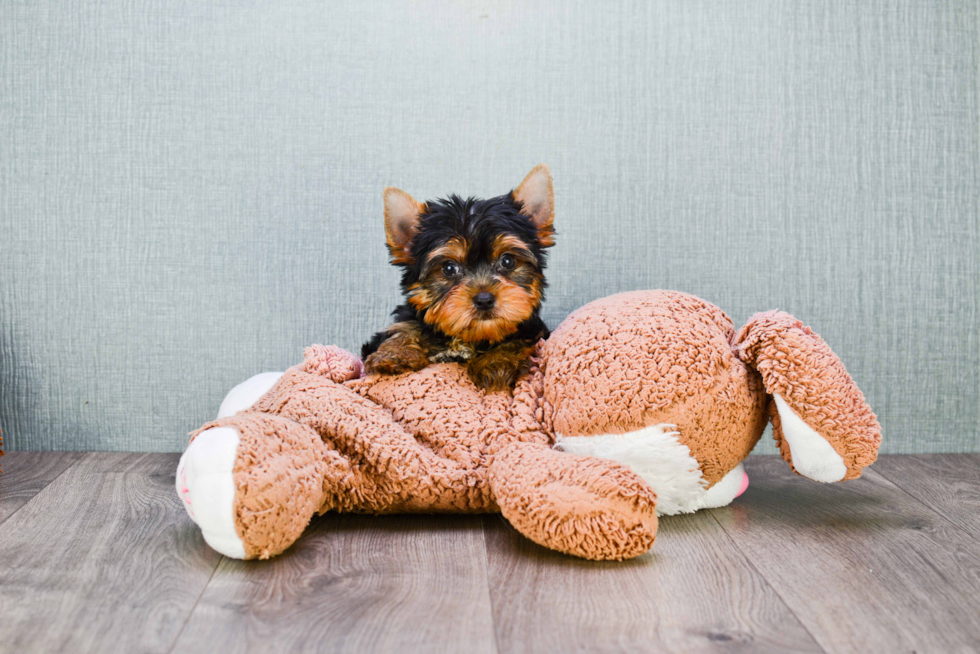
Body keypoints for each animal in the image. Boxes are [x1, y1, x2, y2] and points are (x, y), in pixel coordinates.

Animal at [362, 164, 560, 392]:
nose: (484, 299)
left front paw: (496, 362)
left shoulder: (533, 331)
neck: (470, 339)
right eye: (449, 268)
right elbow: (405, 327)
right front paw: (394, 354)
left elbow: (519, 340)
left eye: (508, 261)